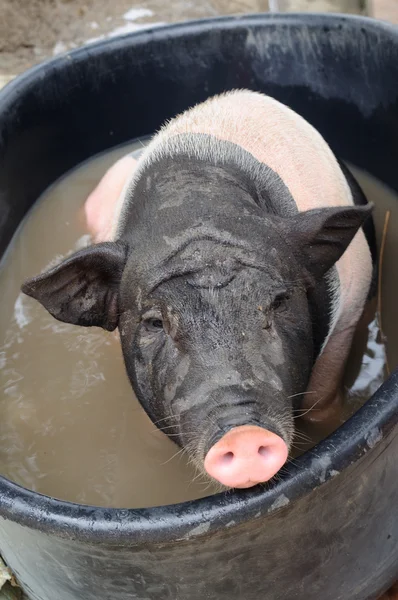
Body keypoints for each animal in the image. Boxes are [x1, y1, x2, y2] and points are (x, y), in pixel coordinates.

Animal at [21, 91, 376, 490]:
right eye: (155, 323)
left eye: (279, 303)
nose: (244, 435)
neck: (197, 206)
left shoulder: (350, 313)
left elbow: (323, 403)